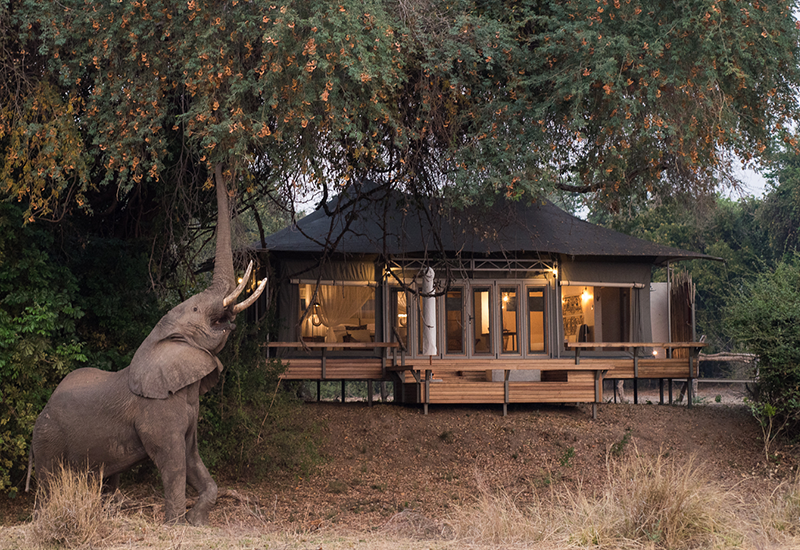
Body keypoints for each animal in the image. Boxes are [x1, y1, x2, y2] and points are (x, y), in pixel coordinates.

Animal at [27, 166, 266, 528]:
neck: (160, 339)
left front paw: (196, 520)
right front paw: (175, 524)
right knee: (49, 483)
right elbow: (173, 461)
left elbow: (192, 457)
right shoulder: (156, 411)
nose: (216, 165)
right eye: (196, 309)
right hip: (48, 438)